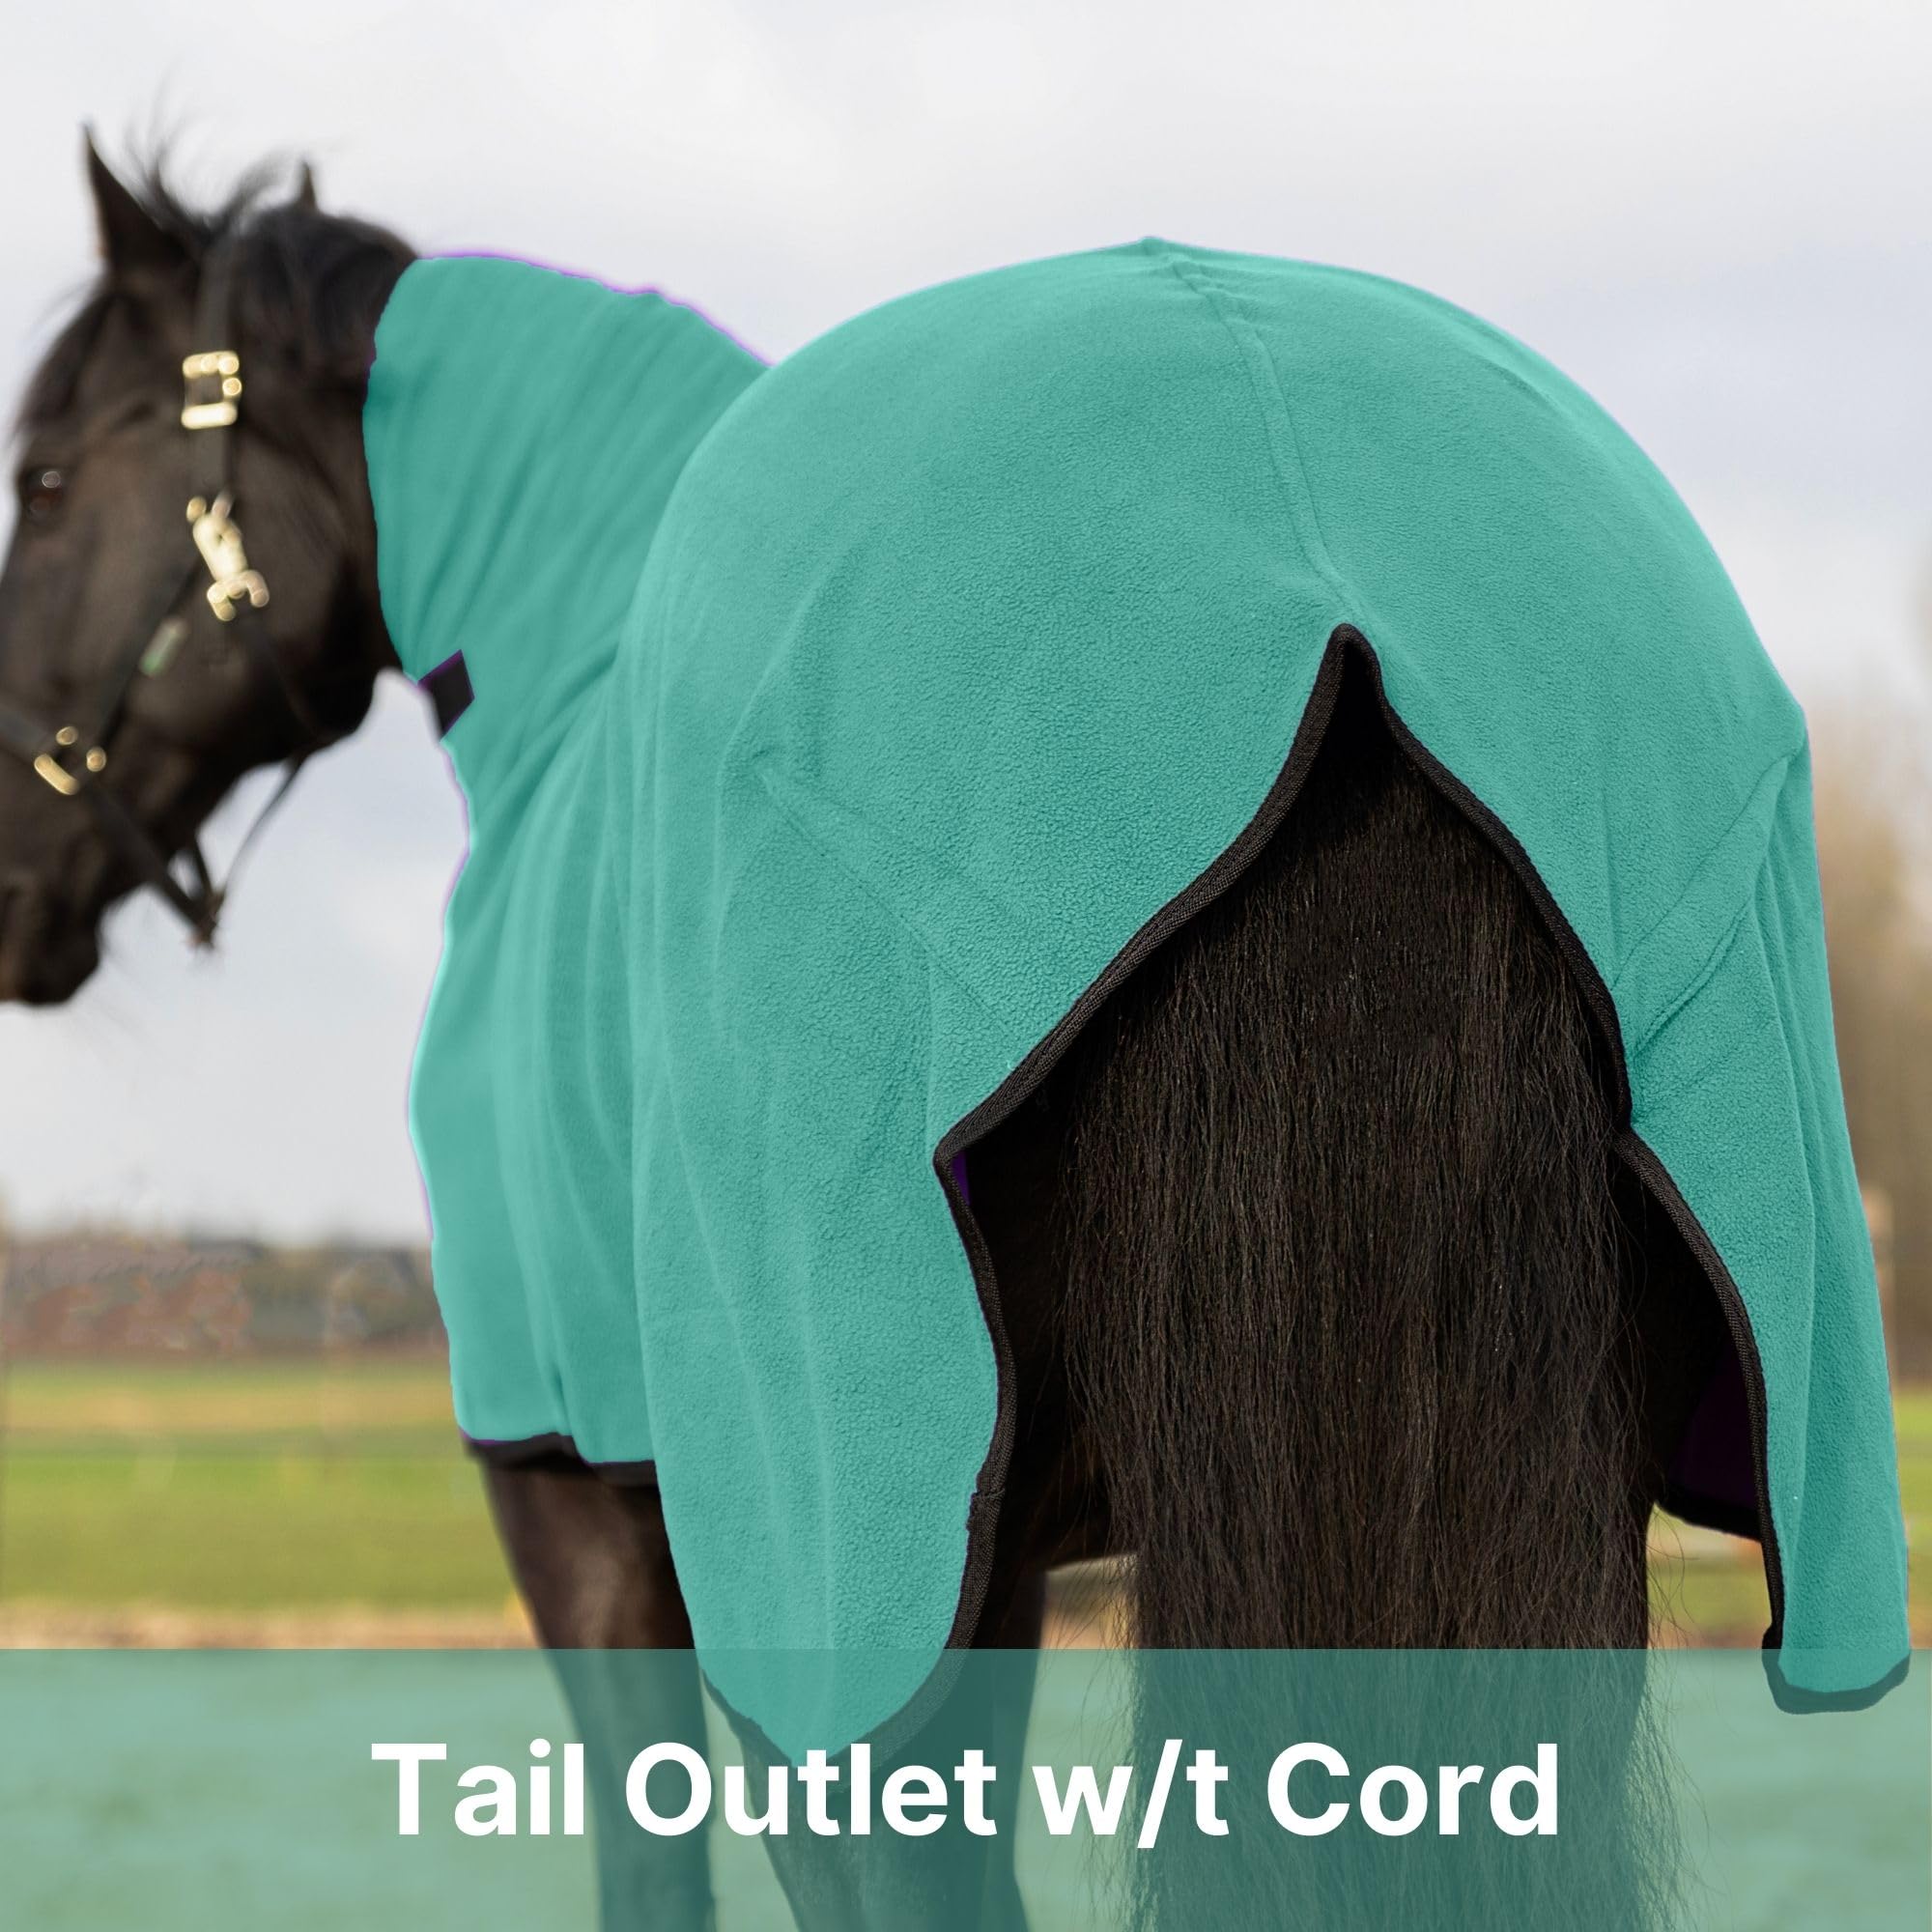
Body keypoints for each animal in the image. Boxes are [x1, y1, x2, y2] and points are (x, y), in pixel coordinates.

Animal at [1, 145, 1876, 1931]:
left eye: (43, 480)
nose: (16, 887)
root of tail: (1325, 603)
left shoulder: (593, 1501)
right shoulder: (985, 1570)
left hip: (825, 1566)